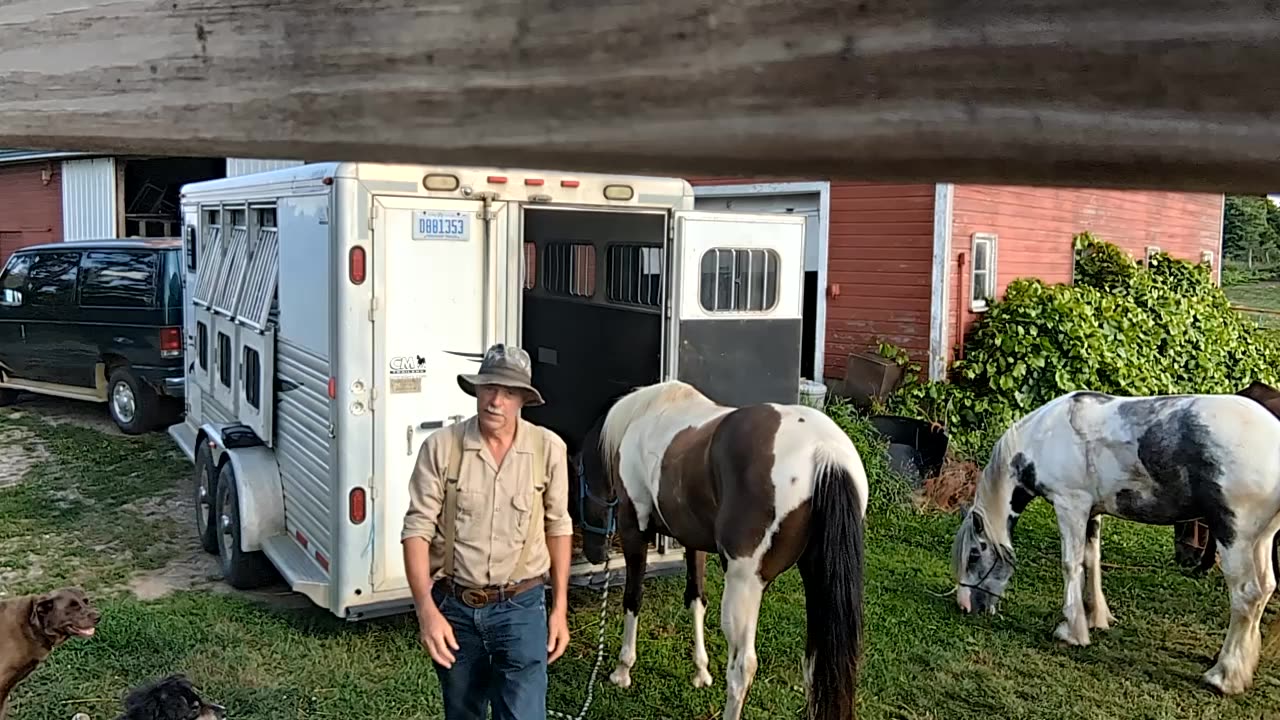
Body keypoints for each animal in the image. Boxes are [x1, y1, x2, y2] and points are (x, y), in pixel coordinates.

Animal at [570, 379, 870, 717]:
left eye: (576, 484)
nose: (595, 556)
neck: (642, 415)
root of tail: (824, 452)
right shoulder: (692, 541)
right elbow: (696, 599)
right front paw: (701, 672)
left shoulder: (635, 529)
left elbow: (633, 599)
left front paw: (622, 671)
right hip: (816, 581)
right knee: (815, 668)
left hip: (744, 587)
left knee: (742, 667)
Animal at [957, 389, 1280, 691]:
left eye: (974, 555)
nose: (965, 607)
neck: (1043, 437)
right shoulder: (1091, 512)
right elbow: (1091, 561)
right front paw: (1095, 618)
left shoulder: (1070, 505)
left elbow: (1070, 565)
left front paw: (1071, 631)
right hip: (1261, 540)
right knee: (1264, 590)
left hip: (1233, 537)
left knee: (1246, 595)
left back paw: (1223, 676)